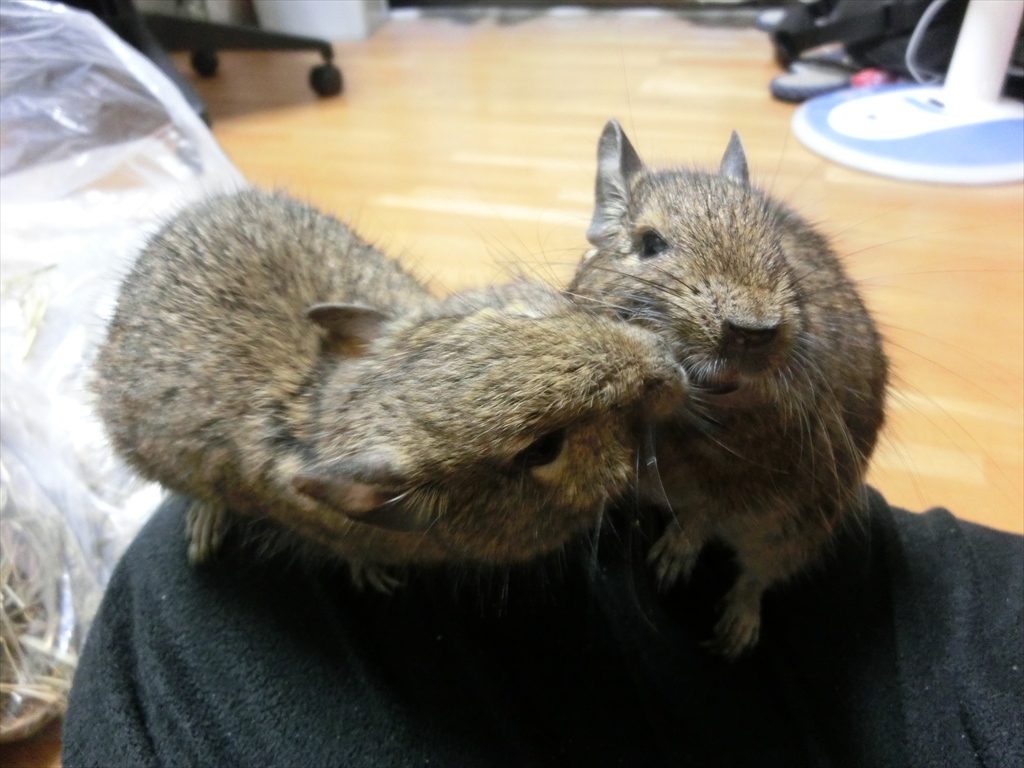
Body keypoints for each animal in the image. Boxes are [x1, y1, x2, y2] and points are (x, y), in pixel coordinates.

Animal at [568, 120, 888, 657]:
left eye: (775, 244)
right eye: (650, 243)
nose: (753, 332)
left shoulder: (763, 477)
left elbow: (707, 510)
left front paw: (671, 560)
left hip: (798, 531)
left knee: (758, 575)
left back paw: (735, 633)